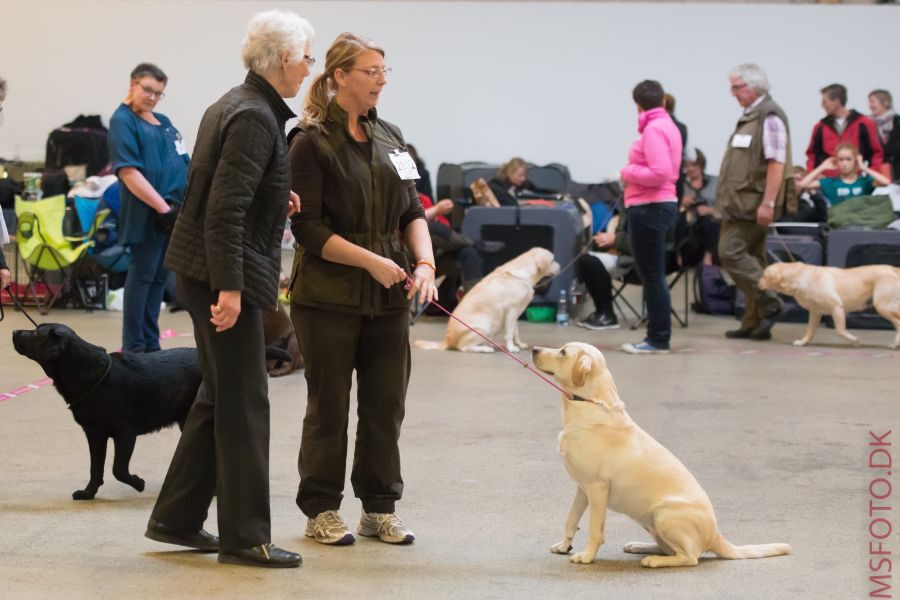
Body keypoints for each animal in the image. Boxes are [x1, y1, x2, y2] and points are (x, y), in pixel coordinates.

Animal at [11, 326, 200, 500]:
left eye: (36, 333)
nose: (14, 332)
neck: (93, 376)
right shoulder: (94, 434)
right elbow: (95, 468)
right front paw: (88, 493)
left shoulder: (125, 434)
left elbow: (118, 469)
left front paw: (138, 483)